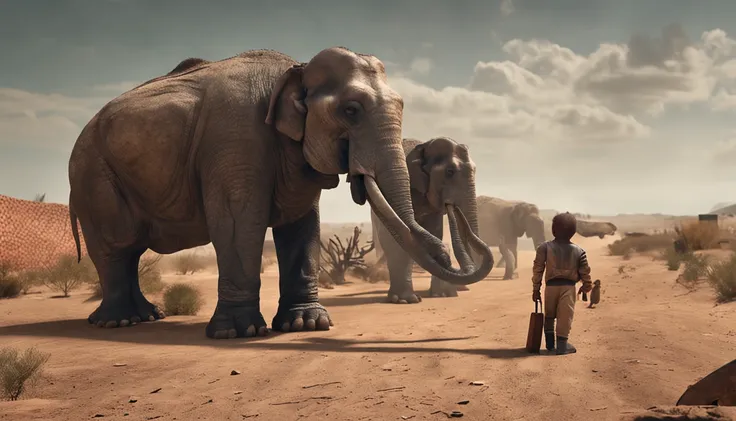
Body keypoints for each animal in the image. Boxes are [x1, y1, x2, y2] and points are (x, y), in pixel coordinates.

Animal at [370, 136, 492, 304]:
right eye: (449, 172)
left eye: (474, 170)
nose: (454, 208)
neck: (424, 146)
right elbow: (397, 237)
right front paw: (405, 300)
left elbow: (435, 232)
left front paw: (442, 295)